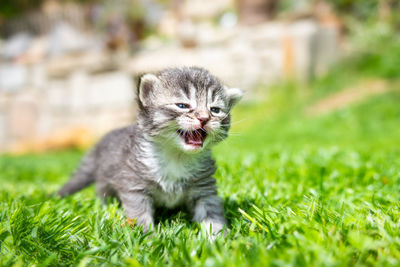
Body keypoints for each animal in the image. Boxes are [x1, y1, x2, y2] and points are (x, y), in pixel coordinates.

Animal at [57, 67, 242, 234]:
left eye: (215, 110)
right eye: (182, 105)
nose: (204, 118)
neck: (177, 155)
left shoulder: (204, 187)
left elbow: (211, 213)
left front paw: (217, 238)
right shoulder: (134, 185)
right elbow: (139, 214)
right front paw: (147, 237)